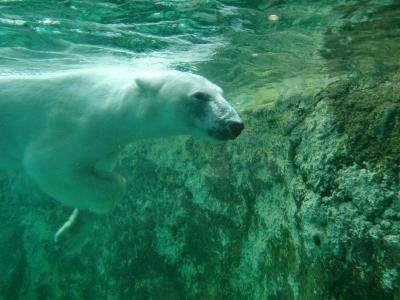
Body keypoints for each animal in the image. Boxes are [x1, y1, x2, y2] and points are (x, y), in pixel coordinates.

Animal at [0, 68, 244, 248]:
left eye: (221, 93)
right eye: (199, 96)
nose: (235, 124)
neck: (110, 106)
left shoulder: (108, 147)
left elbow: (91, 173)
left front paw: (70, 234)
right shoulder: (70, 129)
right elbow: (48, 166)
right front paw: (108, 195)